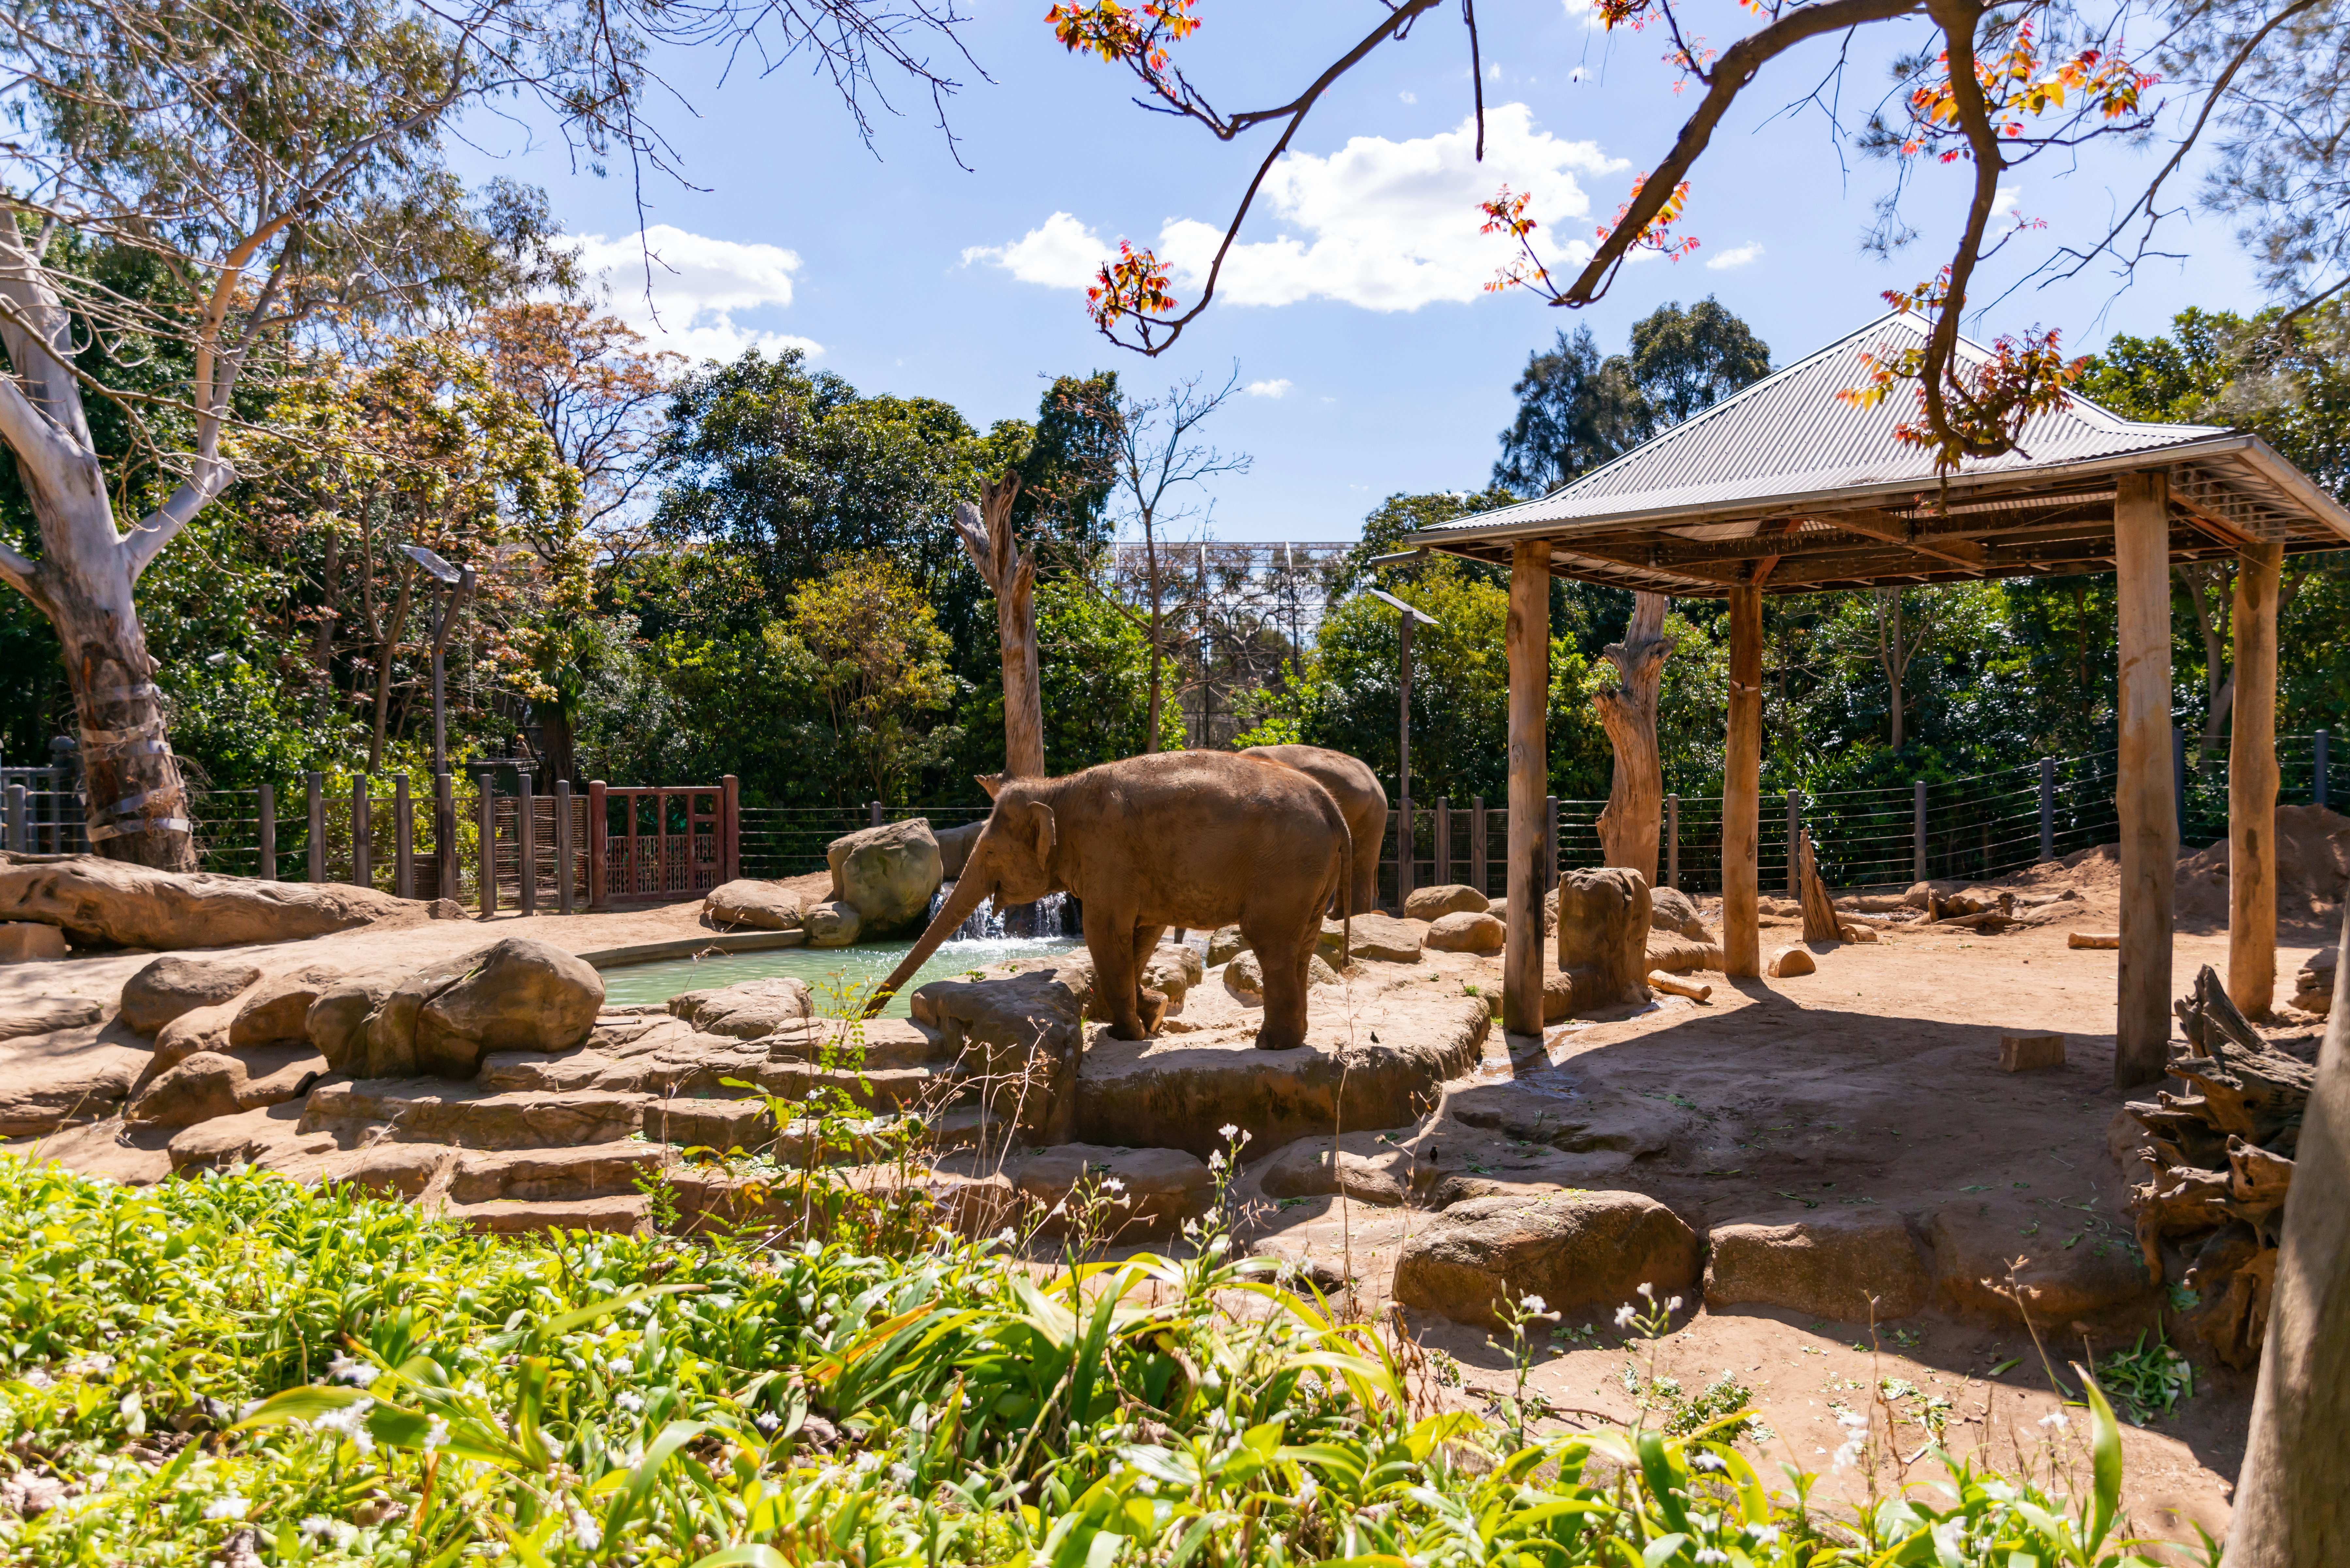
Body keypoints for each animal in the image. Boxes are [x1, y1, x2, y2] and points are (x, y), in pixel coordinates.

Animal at [870, 752, 1351, 1051]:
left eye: (987, 852)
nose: (868, 1014)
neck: (1059, 789)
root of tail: (1332, 807)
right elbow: (1141, 933)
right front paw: (1152, 1014)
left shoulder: (1107, 852)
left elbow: (1104, 931)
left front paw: (1127, 1034)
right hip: (1312, 876)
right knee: (1302, 945)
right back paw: (1292, 1039)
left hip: (1286, 869)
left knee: (1270, 941)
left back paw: (1271, 1044)